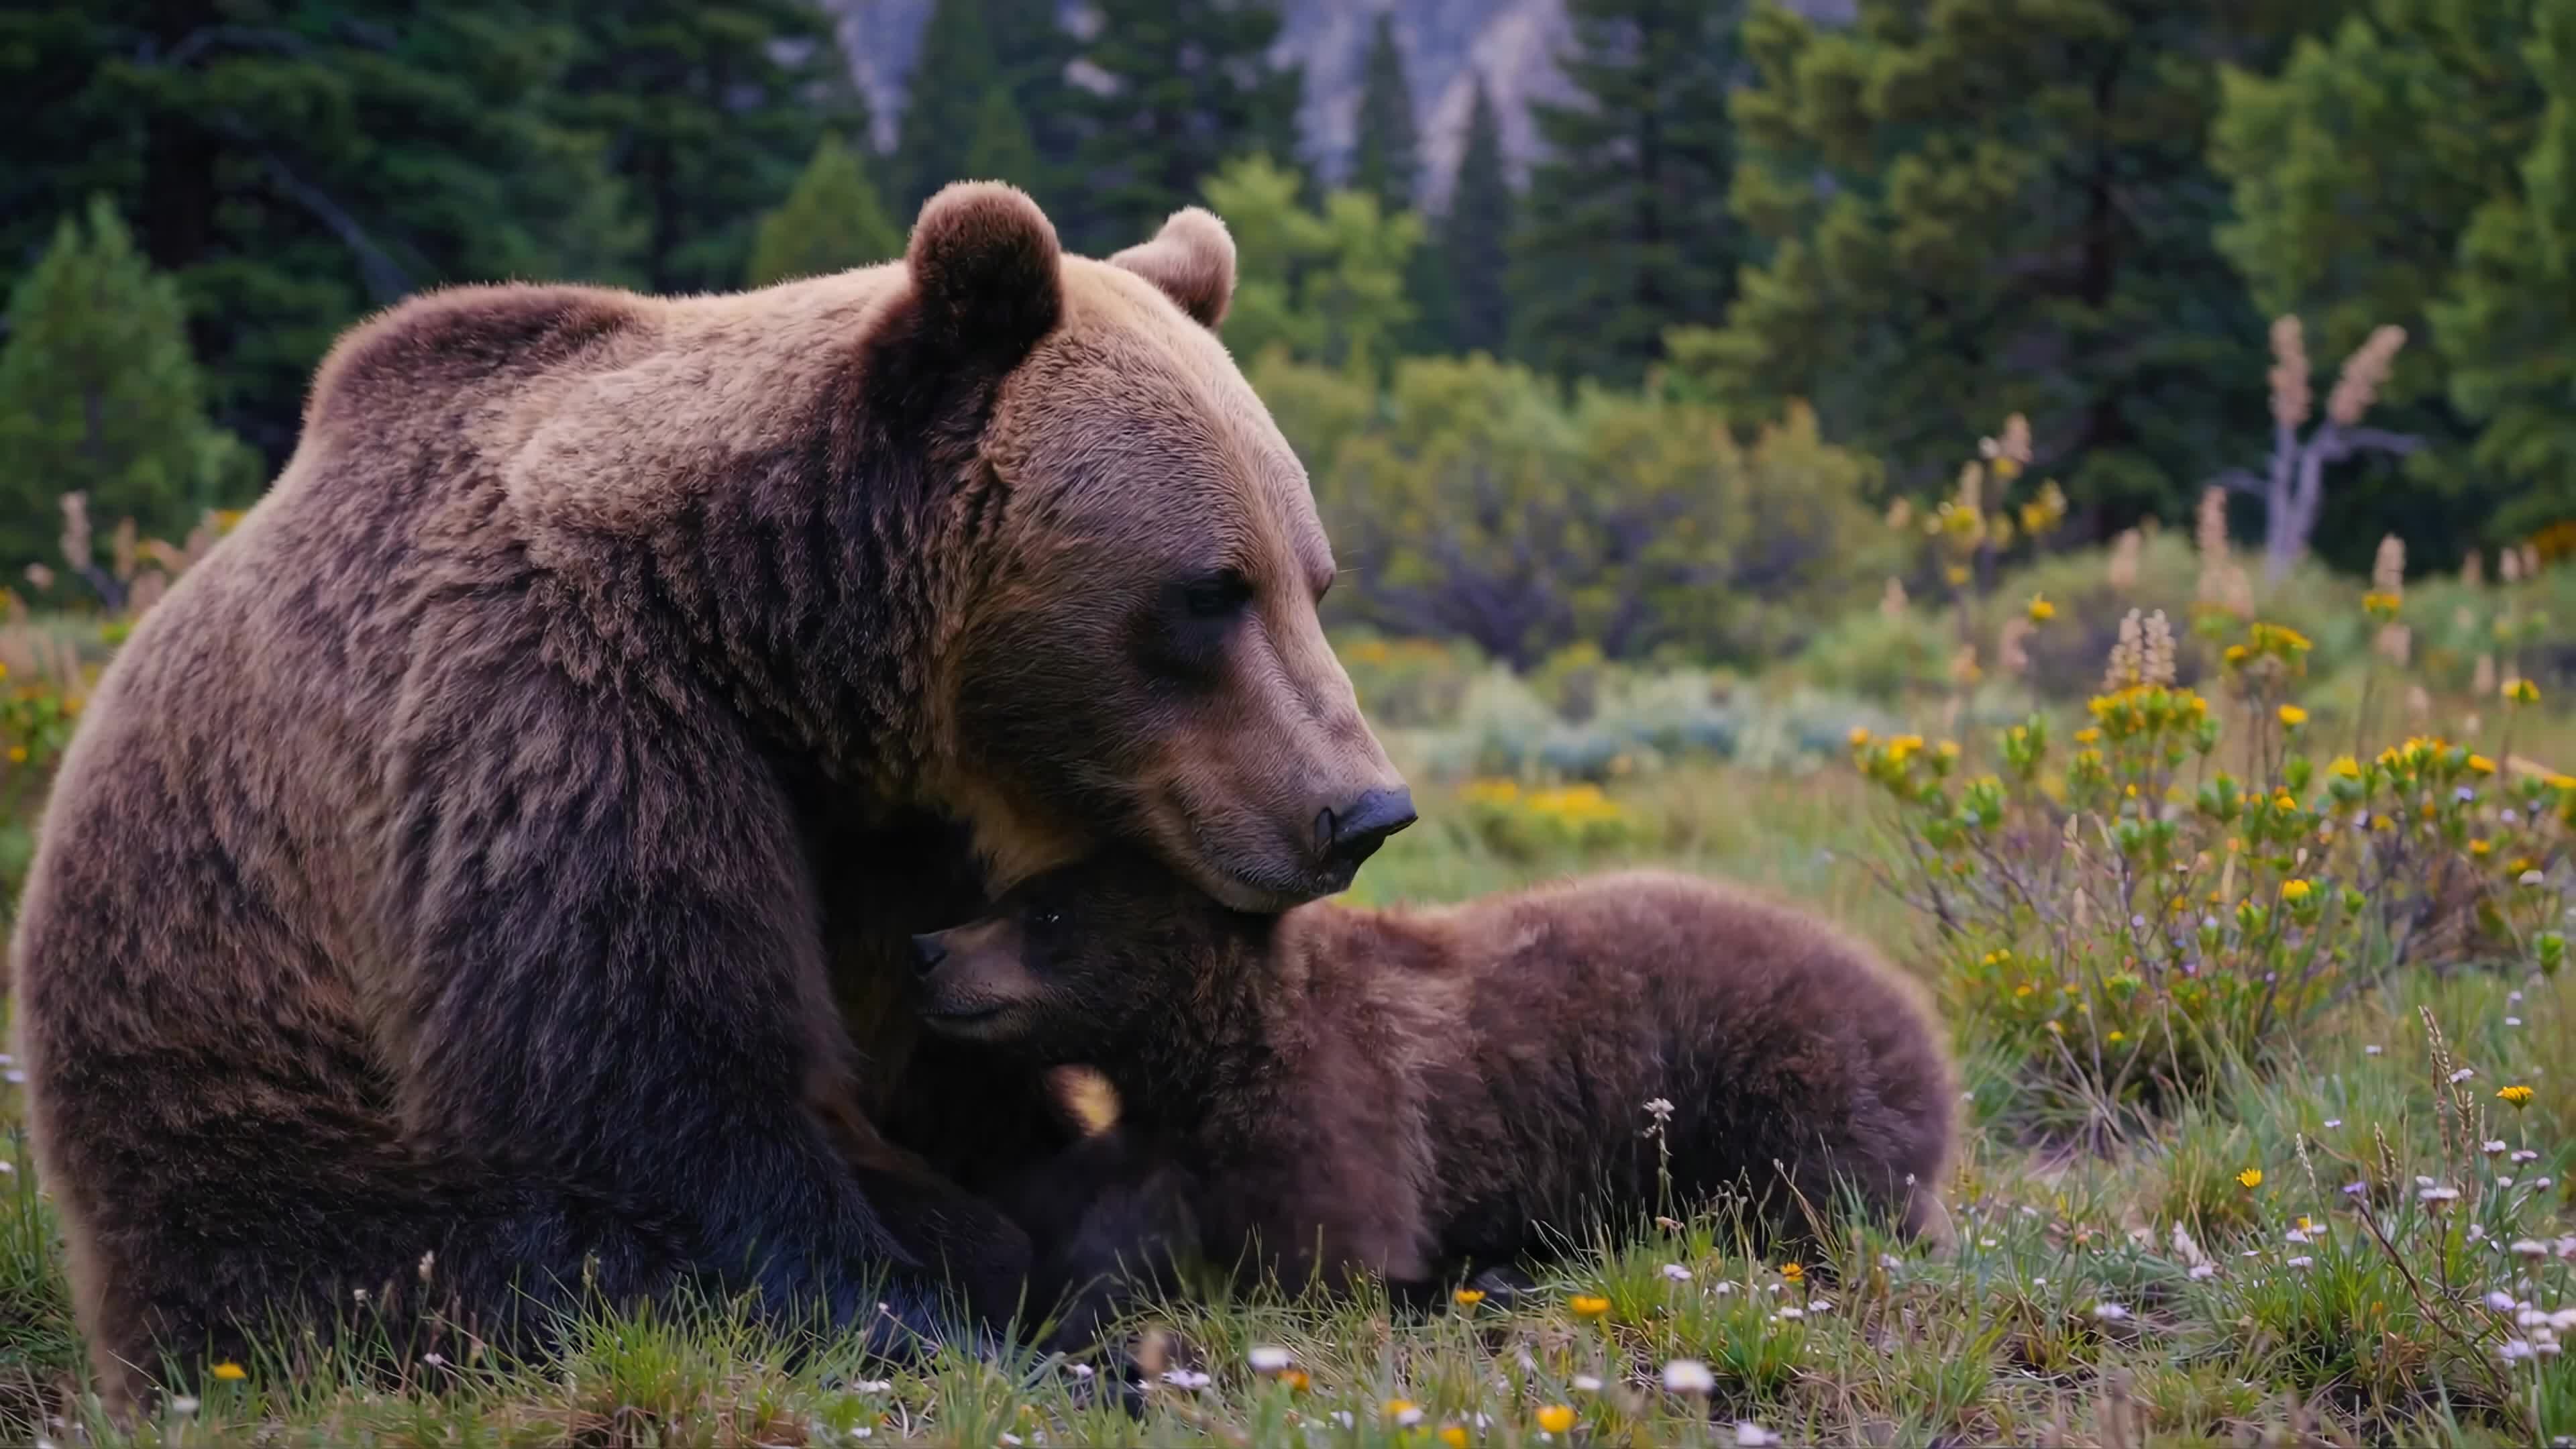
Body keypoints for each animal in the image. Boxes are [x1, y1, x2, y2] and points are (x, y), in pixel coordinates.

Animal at [5, 180, 1411, 1402]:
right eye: (1208, 590)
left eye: (1314, 579)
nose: (1362, 810)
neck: (772, 648)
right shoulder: (558, 733)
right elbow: (670, 1108)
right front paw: (1025, 1351)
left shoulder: (891, 836)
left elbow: (956, 1056)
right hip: (272, 1155)